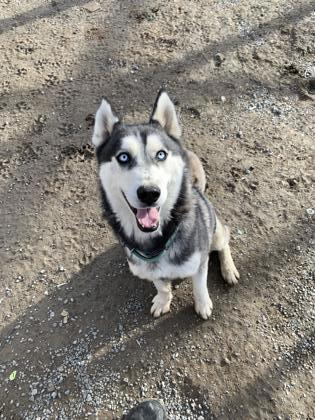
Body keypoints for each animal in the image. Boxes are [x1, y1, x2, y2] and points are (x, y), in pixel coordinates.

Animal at [92, 89, 239, 318]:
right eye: (123, 157)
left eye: (161, 154)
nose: (149, 193)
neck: (156, 241)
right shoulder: (148, 269)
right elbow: (161, 286)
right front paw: (163, 300)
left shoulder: (199, 262)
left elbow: (200, 286)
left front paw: (203, 304)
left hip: (215, 232)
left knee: (224, 241)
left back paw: (229, 269)